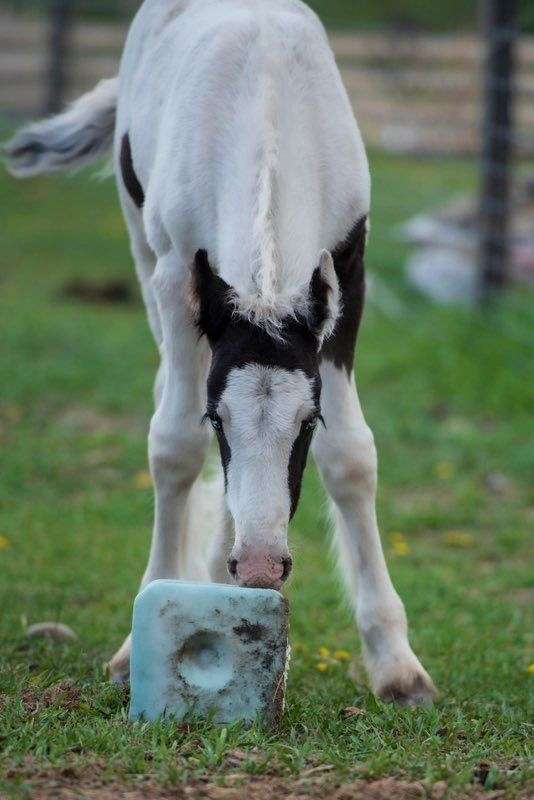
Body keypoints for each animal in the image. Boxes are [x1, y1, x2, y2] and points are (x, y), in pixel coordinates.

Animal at [5, 0, 440, 708]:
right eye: (220, 419)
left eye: (308, 421)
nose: (261, 565)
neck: (268, 113)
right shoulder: (178, 274)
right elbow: (175, 443)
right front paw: (132, 649)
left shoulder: (348, 275)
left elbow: (352, 456)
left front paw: (397, 667)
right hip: (142, 245)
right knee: (166, 397)